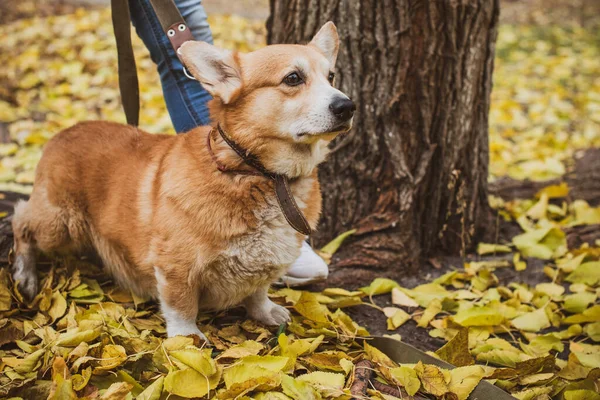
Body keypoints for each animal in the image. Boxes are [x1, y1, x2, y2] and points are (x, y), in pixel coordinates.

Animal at [11, 21, 354, 340]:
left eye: (331, 77)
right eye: (293, 78)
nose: (347, 106)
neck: (259, 174)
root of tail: (61, 132)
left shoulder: (264, 265)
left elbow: (258, 291)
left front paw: (265, 311)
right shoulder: (175, 267)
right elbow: (181, 305)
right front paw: (186, 339)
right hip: (61, 224)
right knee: (20, 219)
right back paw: (24, 274)